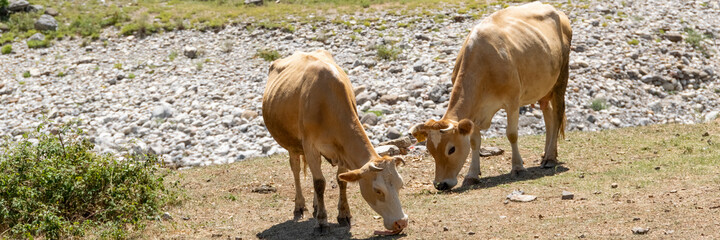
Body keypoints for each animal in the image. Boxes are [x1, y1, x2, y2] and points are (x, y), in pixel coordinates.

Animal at [262, 49, 410, 233]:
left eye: (400, 185)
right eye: (378, 191)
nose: (401, 222)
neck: (327, 103)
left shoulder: (342, 150)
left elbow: (340, 180)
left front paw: (344, 214)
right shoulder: (310, 146)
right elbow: (319, 183)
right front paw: (322, 221)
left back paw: (316, 205)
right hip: (292, 144)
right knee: (296, 169)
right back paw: (300, 206)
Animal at [410, 0, 572, 190]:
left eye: (451, 149)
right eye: (429, 149)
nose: (440, 184)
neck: (484, 64)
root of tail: (555, 10)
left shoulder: (512, 101)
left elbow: (512, 134)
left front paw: (518, 167)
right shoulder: (474, 112)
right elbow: (474, 141)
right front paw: (472, 175)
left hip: (561, 77)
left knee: (557, 113)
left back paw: (550, 159)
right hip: (543, 86)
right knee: (548, 115)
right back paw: (547, 155)